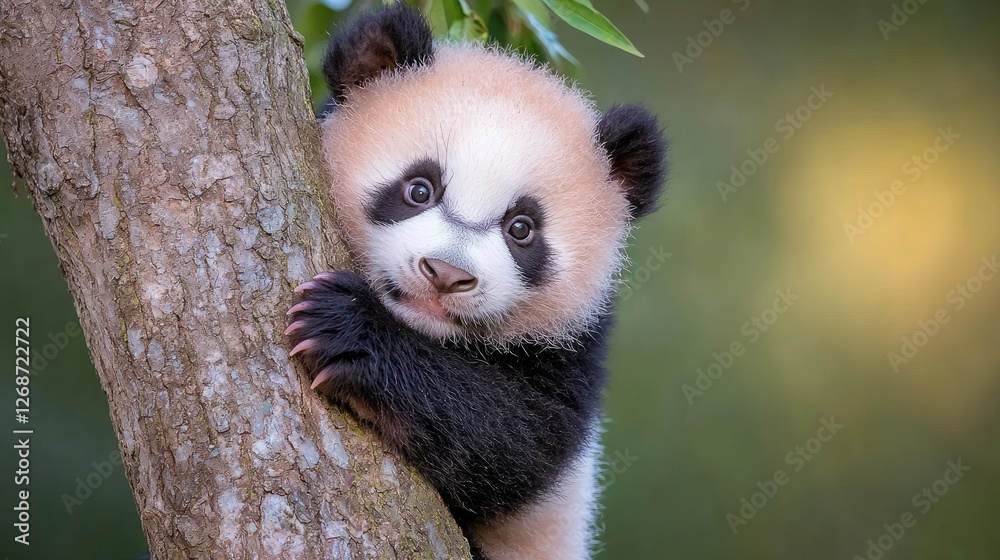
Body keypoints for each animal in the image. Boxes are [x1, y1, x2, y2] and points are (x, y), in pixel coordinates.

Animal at [286, 4, 666, 559]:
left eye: (521, 228)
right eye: (419, 189)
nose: (446, 275)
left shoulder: (574, 347)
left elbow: (515, 440)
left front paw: (348, 331)